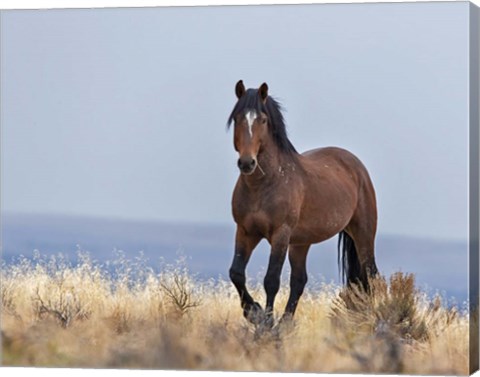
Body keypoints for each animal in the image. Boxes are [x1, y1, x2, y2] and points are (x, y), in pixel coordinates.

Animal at [228, 80, 378, 326]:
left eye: (263, 120)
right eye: (238, 118)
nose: (247, 163)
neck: (265, 184)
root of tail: (356, 165)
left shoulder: (280, 234)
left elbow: (271, 280)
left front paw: (266, 323)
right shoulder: (245, 232)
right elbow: (236, 273)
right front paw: (254, 313)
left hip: (363, 234)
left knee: (371, 276)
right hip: (301, 242)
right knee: (299, 281)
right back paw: (286, 324)